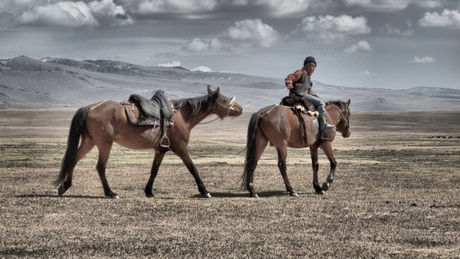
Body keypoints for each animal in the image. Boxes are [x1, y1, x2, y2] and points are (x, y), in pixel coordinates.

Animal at [54, 87, 243, 199]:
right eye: (224, 100)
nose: (240, 109)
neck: (183, 115)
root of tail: (90, 108)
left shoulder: (160, 149)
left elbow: (154, 171)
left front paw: (149, 191)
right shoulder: (181, 147)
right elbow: (193, 168)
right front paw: (205, 191)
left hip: (89, 141)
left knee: (73, 159)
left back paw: (65, 186)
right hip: (104, 143)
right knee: (100, 167)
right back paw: (110, 192)